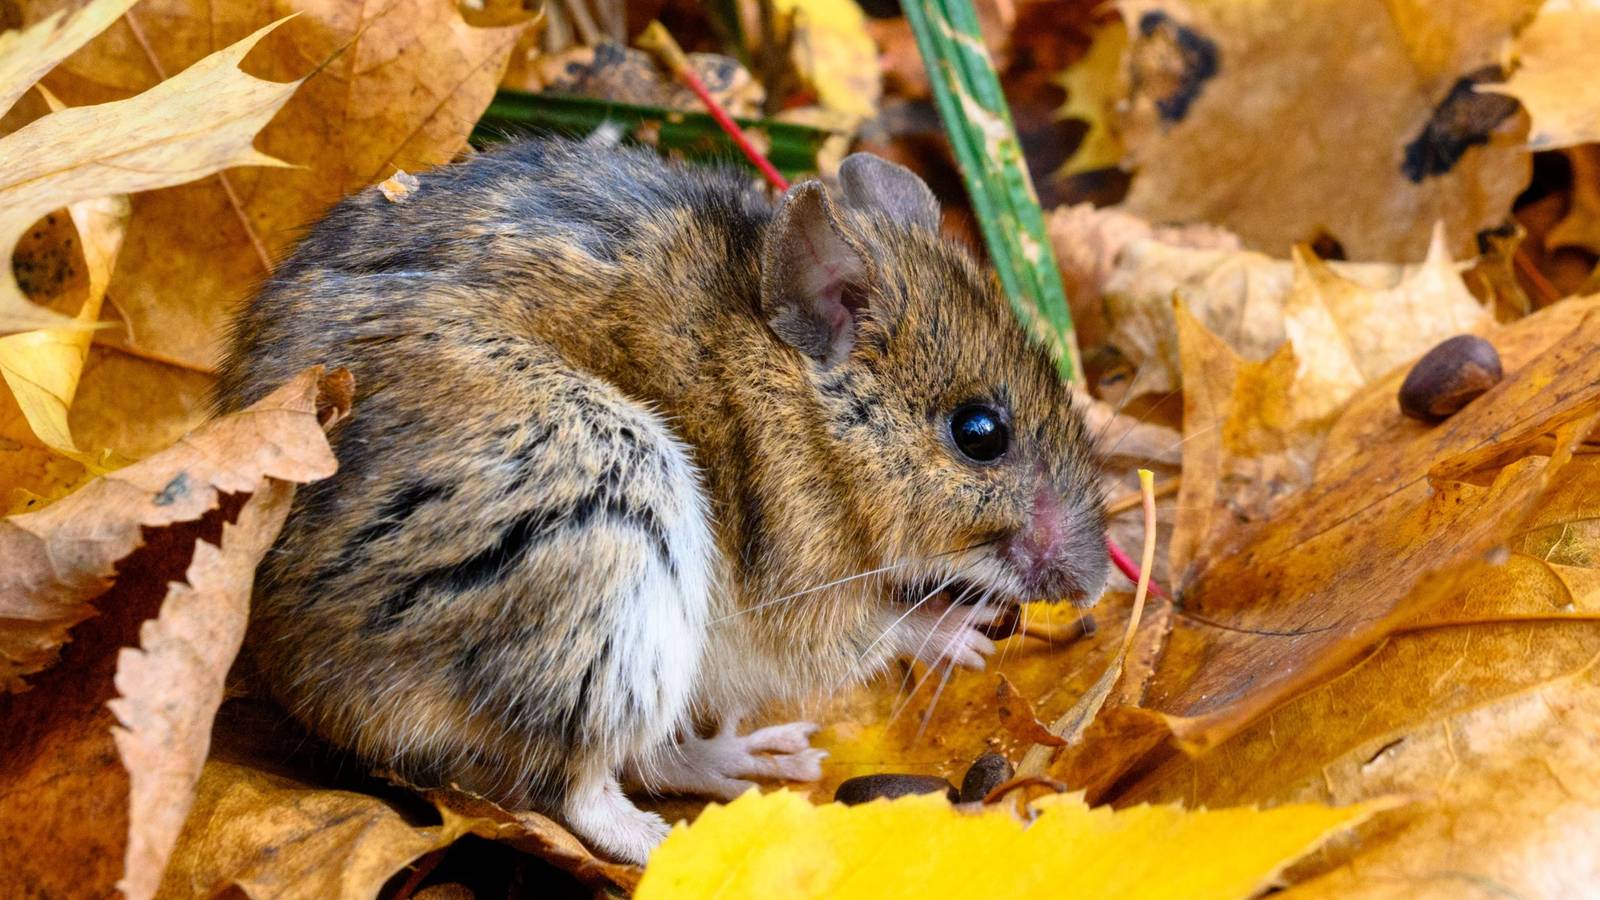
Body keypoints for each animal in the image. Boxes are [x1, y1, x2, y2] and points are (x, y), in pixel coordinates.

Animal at [214, 138, 1108, 863]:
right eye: (979, 432)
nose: (1098, 583)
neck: (797, 393)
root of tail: (300, 683)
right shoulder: (802, 589)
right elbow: (879, 626)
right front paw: (957, 632)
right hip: (609, 529)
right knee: (578, 787)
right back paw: (672, 840)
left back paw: (743, 761)